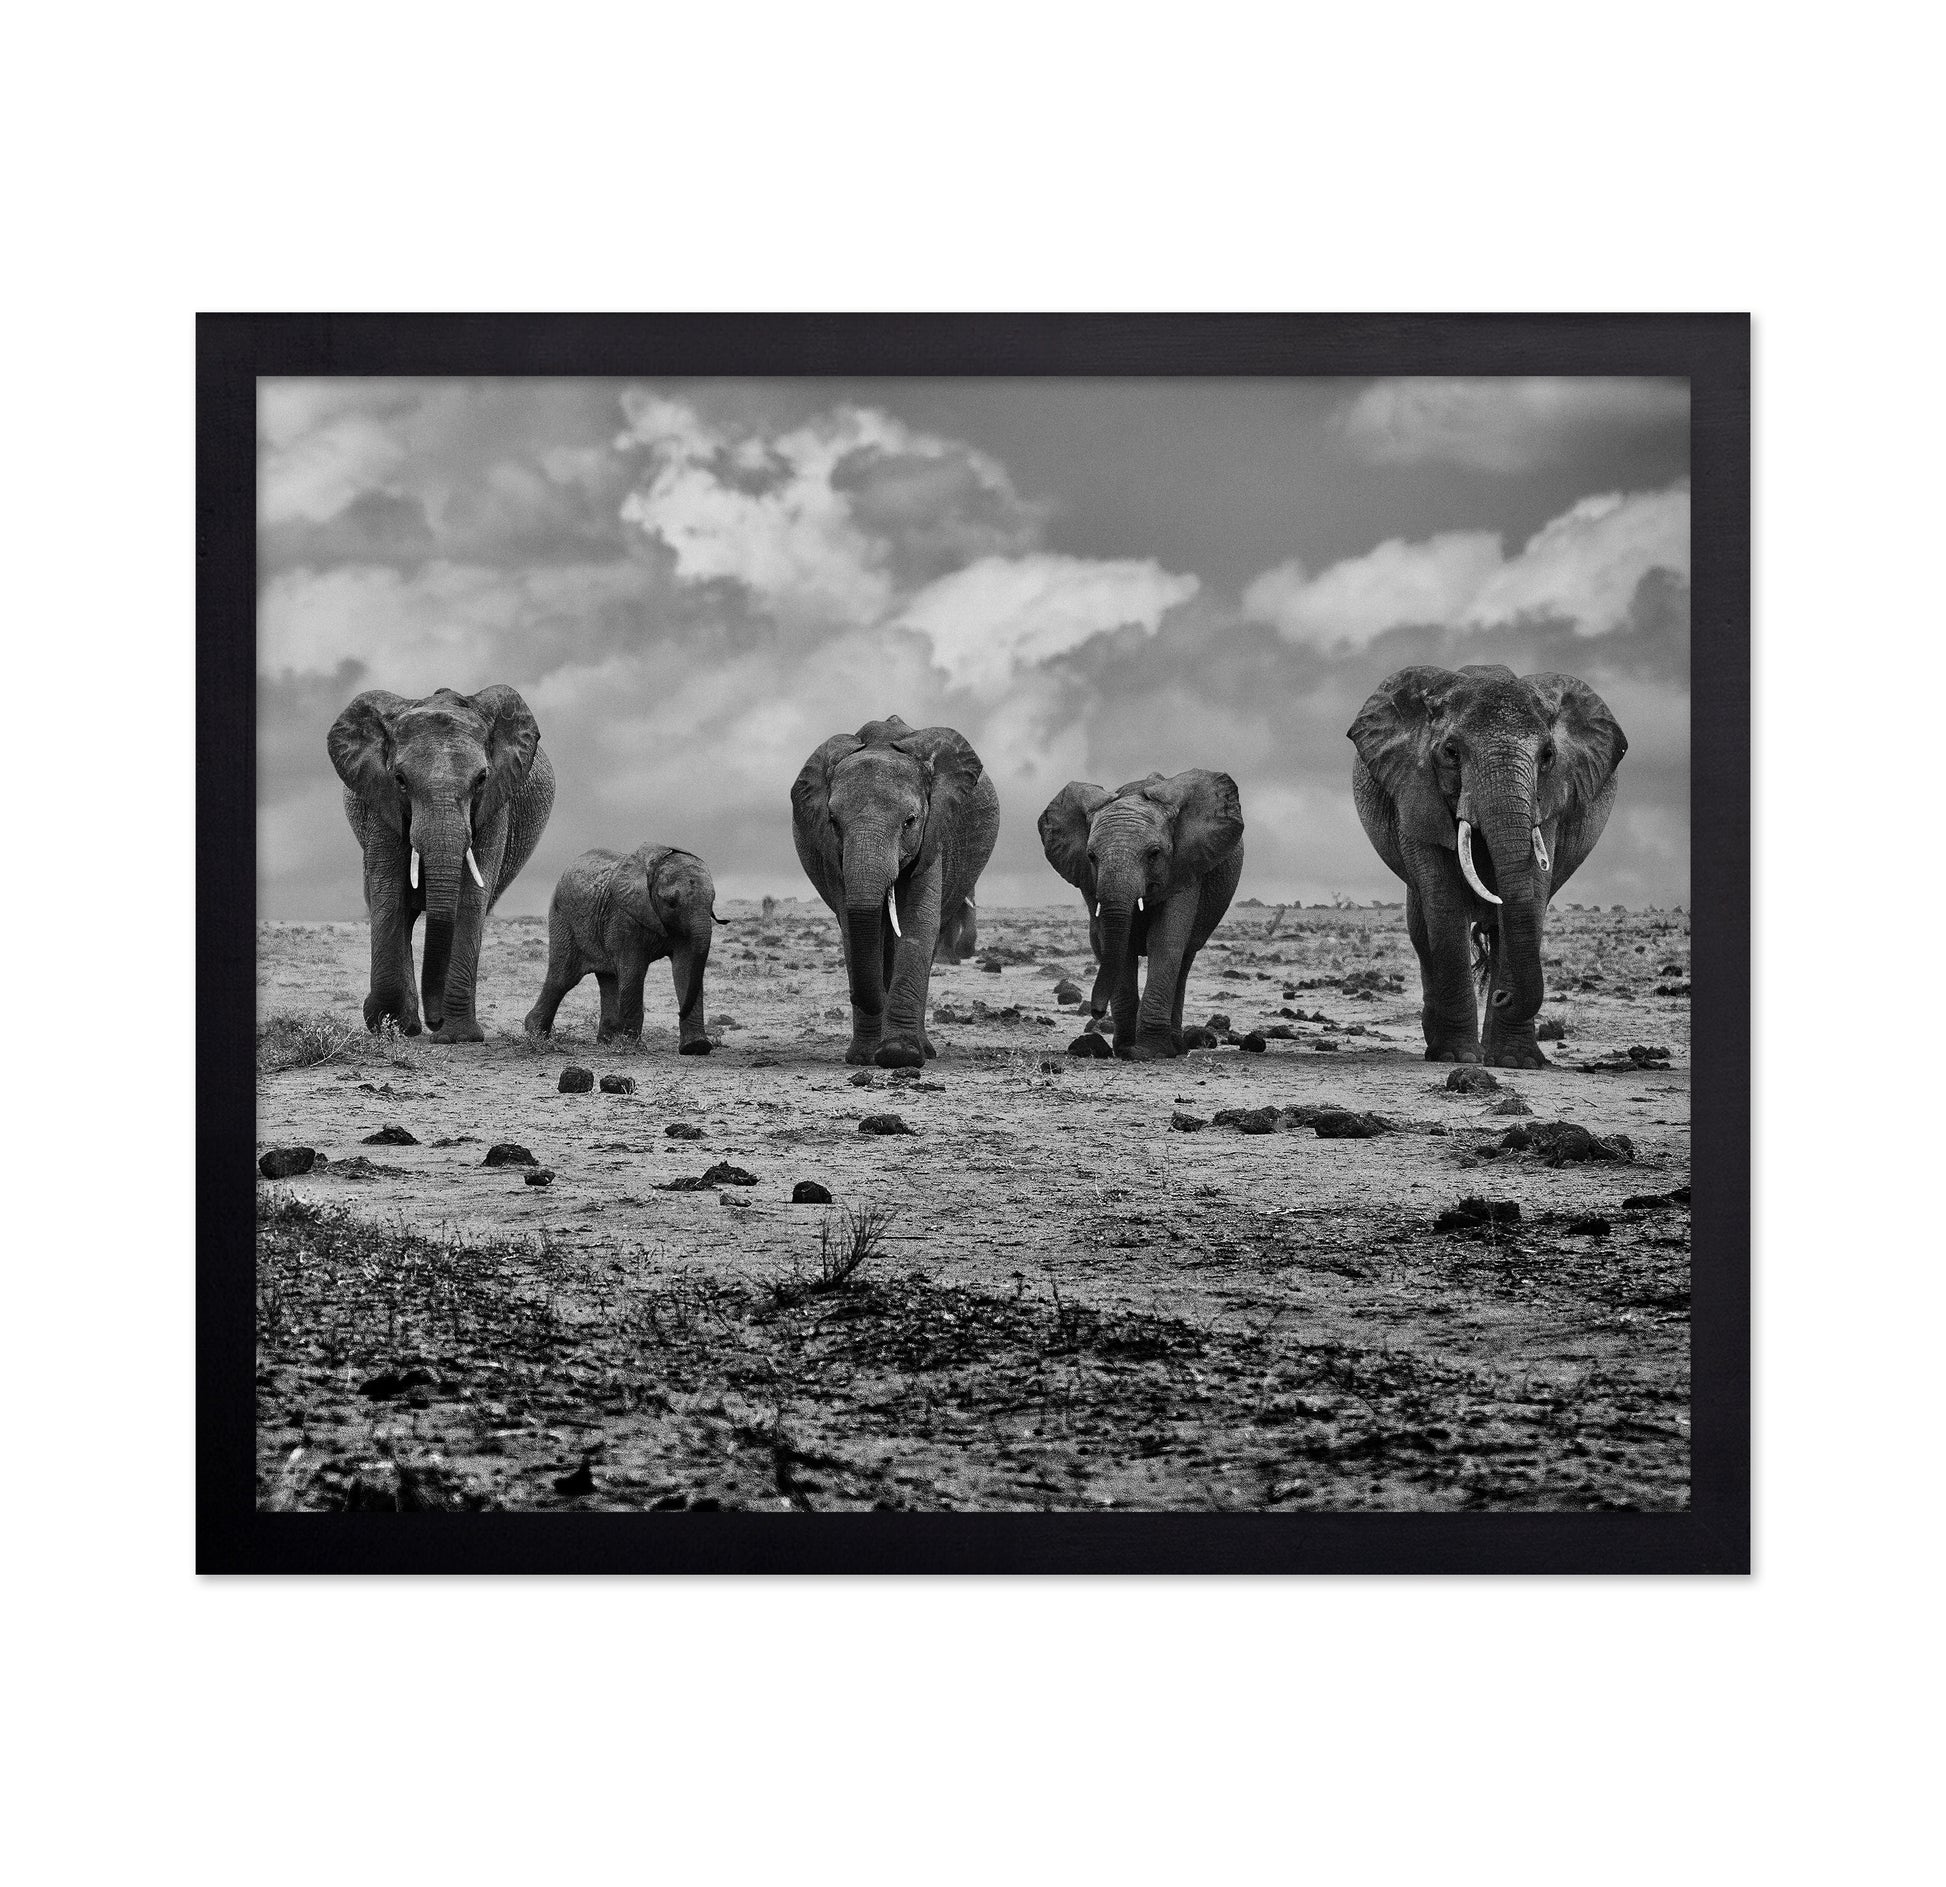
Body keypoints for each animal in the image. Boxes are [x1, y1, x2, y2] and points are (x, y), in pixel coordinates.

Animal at [327, 685, 555, 1043]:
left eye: (481, 779)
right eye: (400, 779)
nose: (435, 1021)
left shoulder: (494, 804)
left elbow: (471, 899)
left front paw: (458, 1036)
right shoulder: (380, 800)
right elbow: (388, 892)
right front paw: (388, 1024)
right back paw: (403, 1025)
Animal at [523, 845, 723, 1052]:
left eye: (712, 902)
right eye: (671, 902)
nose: (679, 1012)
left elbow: (685, 968)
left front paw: (696, 1048)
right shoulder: (624, 917)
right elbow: (633, 971)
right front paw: (633, 1046)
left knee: (607, 978)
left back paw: (607, 1041)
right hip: (564, 920)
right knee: (563, 977)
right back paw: (537, 1034)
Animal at [790, 715, 999, 1067]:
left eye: (910, 821)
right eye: (833, 821)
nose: (867, 998)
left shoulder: (934, 833)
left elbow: (917, 922)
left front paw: (899, 1054)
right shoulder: (831, 853)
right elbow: (853, 926)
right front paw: (865, 1058)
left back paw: (924, 1049)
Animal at [1039, 769, 1244, 1060]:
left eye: (1154, 854)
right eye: (1091, 856)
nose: (1096, 1012)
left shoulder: (1185, 867)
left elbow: (1165, 940)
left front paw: (1149, 1051)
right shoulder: (1089, 880)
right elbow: (1117, 945)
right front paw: (1125, 1049)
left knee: (1184, 960)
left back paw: (1176, 1047)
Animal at [1349, 662, 1627, 1068]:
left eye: (1548, 755)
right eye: (1451, 752)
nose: (1502, 997)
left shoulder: (1551, 802)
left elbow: (1532, 895)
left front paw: (1516, 1063)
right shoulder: (1414, 791)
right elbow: (1444, 904)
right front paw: (1457, 1057)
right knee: (1423, 933)